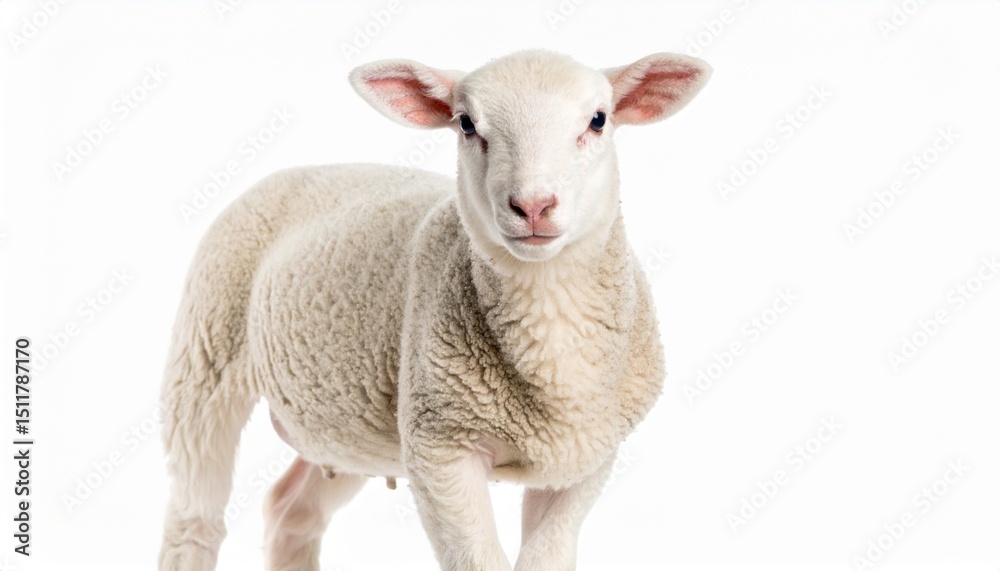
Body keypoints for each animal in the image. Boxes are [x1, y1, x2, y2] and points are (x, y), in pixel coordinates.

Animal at [158, 49, 710, 571]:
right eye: (466, 124)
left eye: (598, 120)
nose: (533, 206)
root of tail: (302, 169)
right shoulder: (439, 448)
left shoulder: (584, 463)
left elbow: (546, 558)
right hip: (206, 354)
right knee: (195, 518)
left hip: (345, 429)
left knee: (290, 512)